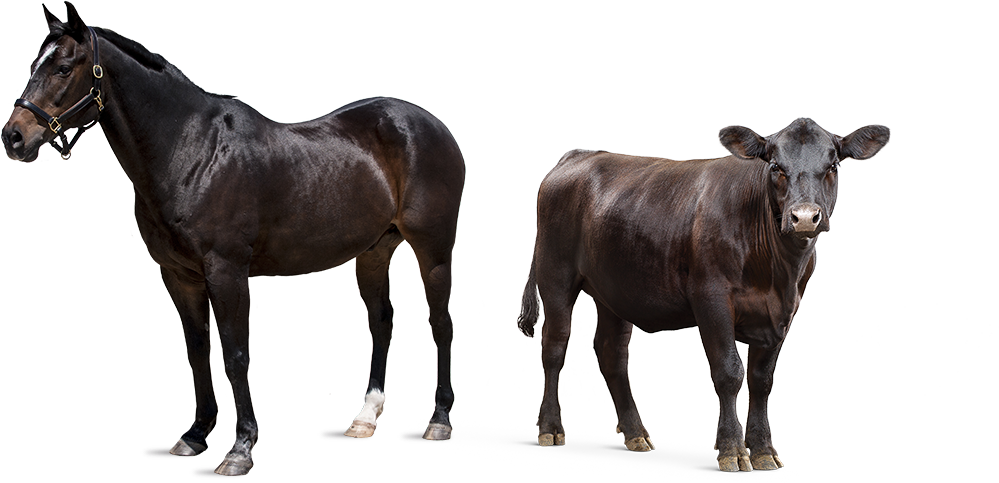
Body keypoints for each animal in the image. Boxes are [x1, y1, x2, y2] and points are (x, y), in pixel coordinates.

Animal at [2, 3, 464, 476]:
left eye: (62, 67)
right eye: (36, 64)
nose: (14, 136)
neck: (190, 150)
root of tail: (433, 126)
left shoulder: (226, 271)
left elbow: (236, 354)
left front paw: (240, 449)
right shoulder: (179, 275)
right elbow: (196, 349)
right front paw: (193, 436)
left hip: (432, 249)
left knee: (441, 322)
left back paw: (438, 422)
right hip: (375, 249)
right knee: (382, 321)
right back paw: (364, 420)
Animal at [517, 118, 889, 472]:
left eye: (833, 166)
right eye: (776, 166)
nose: (805, 217)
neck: (776, 273)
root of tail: (578, 156)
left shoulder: (783, 312)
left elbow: (762, 380)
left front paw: (764, 450)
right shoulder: (711, 299)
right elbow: (729, 372)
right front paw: (733, 450)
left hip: (615, 292)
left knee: (612, 353)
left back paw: (636, 433)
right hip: (555, 274)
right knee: (554, 346)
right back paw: (550, 427)